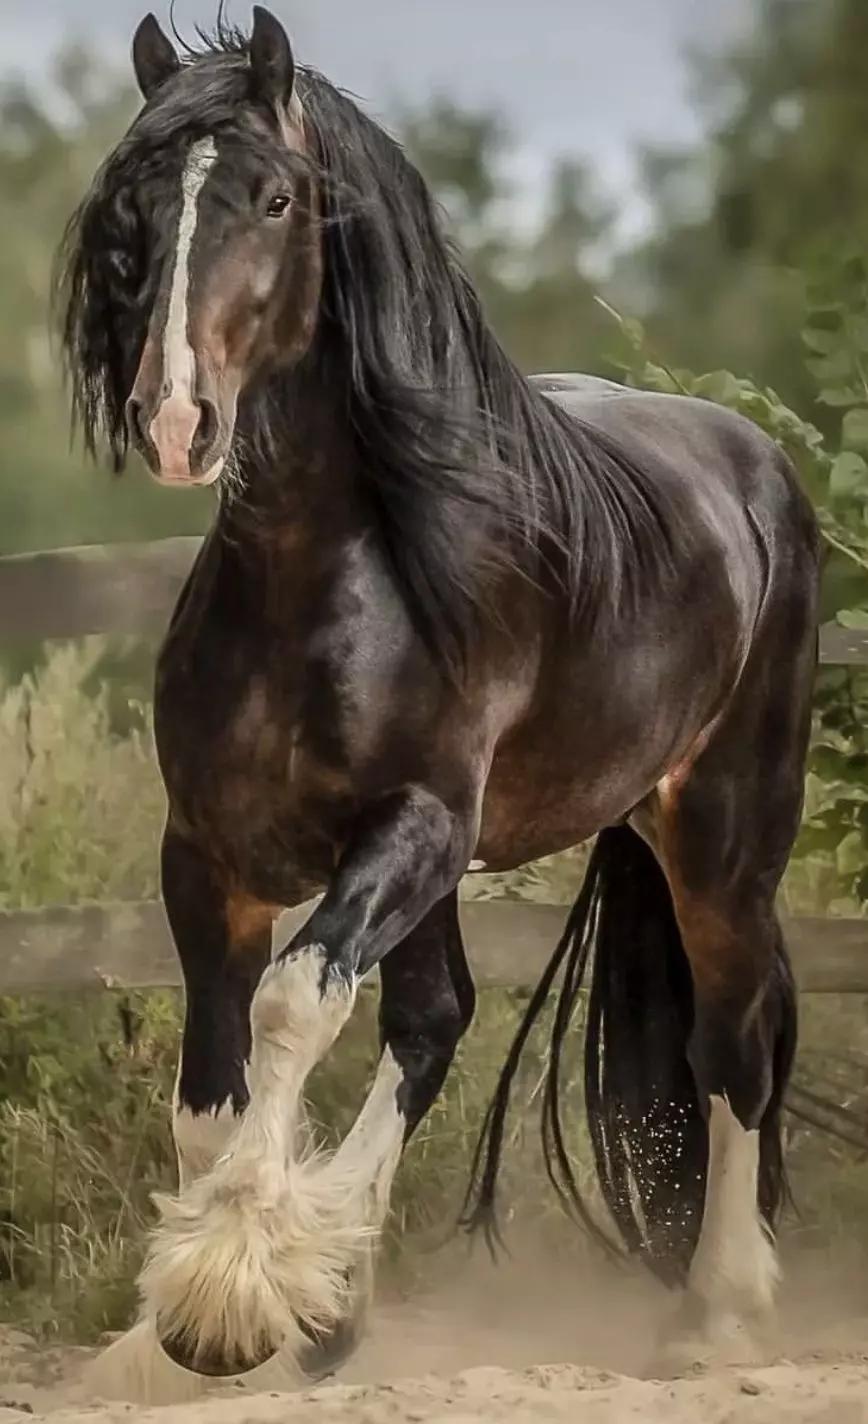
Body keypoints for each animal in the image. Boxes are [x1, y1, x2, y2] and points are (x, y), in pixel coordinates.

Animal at [57, 5, 820, 1392]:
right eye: (134, 204)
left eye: (276, 196)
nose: (176, 418)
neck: (324, 576)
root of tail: (755, 468)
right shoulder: (209, 854)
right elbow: (211, 1087)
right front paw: (199, 1321)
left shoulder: (411, 823)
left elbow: (296, 1003)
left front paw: (228, 1293)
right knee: (436, 1018)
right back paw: (340, 1296)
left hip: (721, 837)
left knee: (732, 1037)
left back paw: (720, 1312)